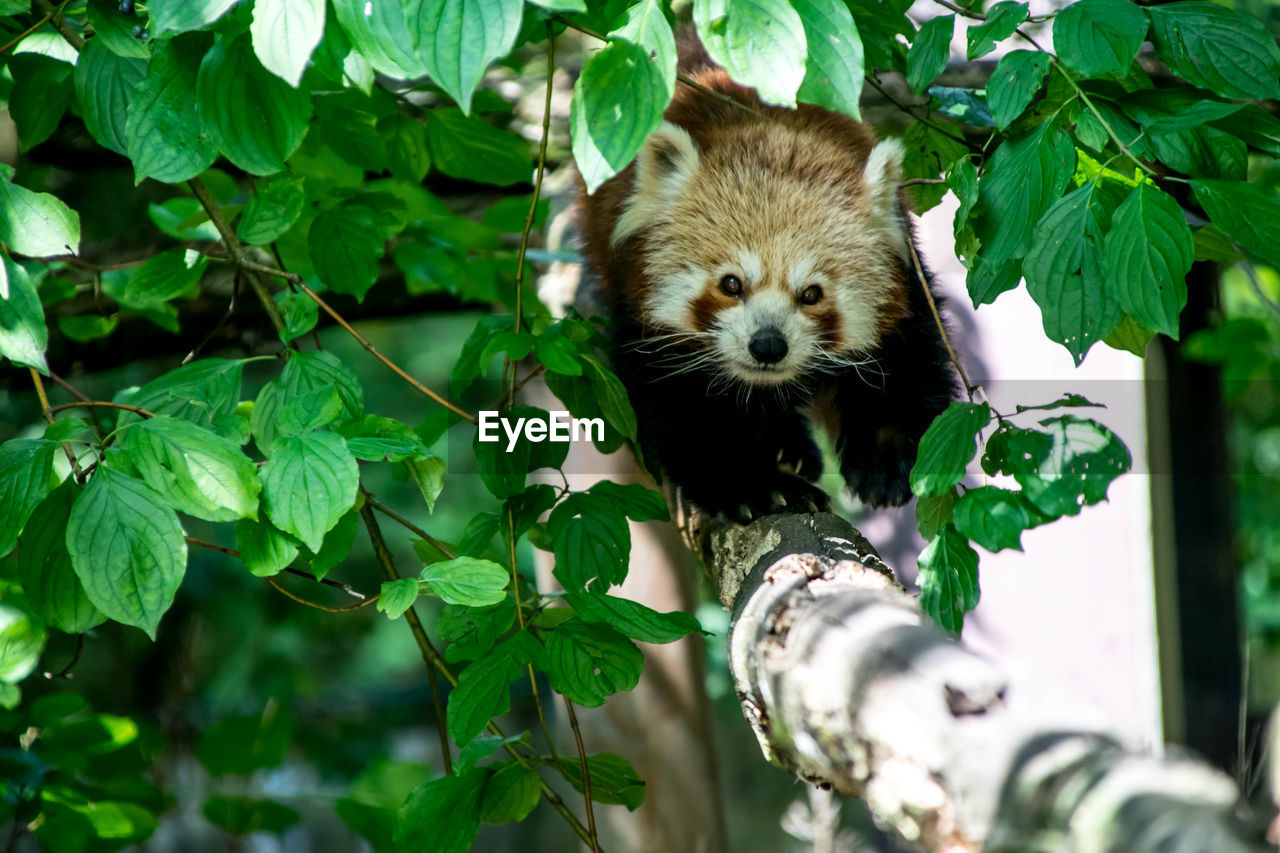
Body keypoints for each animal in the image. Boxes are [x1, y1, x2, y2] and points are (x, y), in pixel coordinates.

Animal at [576, 53, 957, 522]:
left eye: (811, 293)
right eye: (731, 284)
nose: (768, 345)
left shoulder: (904, 275)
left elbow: (908, 361)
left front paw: (886, 462)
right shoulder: (639, 308)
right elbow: (685, 414)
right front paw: (761, 487)